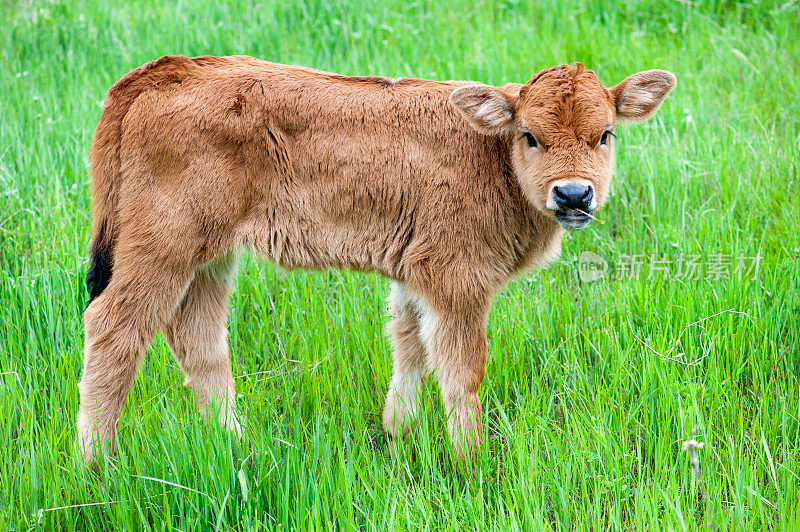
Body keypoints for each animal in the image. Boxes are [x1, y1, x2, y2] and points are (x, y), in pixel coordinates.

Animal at [78, 56, 676, 464]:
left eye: (606, 134)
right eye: (530, 136)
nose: (574, 195)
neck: (489, 151)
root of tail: (163, 71)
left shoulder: (414, 276)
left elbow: (409, 346)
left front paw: (395, 434)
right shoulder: (457, 282)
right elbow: (462, 370)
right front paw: (472, 462)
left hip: (212, 256)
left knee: (199, 338)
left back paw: (239, 445)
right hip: (161, 247)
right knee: (114, 330)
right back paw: (96, 465)